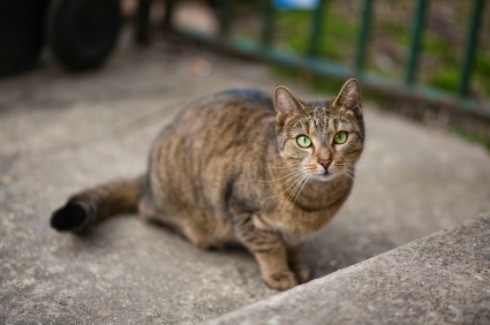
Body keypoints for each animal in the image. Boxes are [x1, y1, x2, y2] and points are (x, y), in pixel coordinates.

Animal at [50, 78, 364, 288]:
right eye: (304, 141)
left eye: (340, 137)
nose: (325, 160)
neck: (313, 200)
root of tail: (146, 176)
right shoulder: (240, 210)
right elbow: (270, 247)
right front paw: (279, 273)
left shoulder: (298, 233)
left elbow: (295, 246)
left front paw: (297, 266)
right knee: (147, 211)